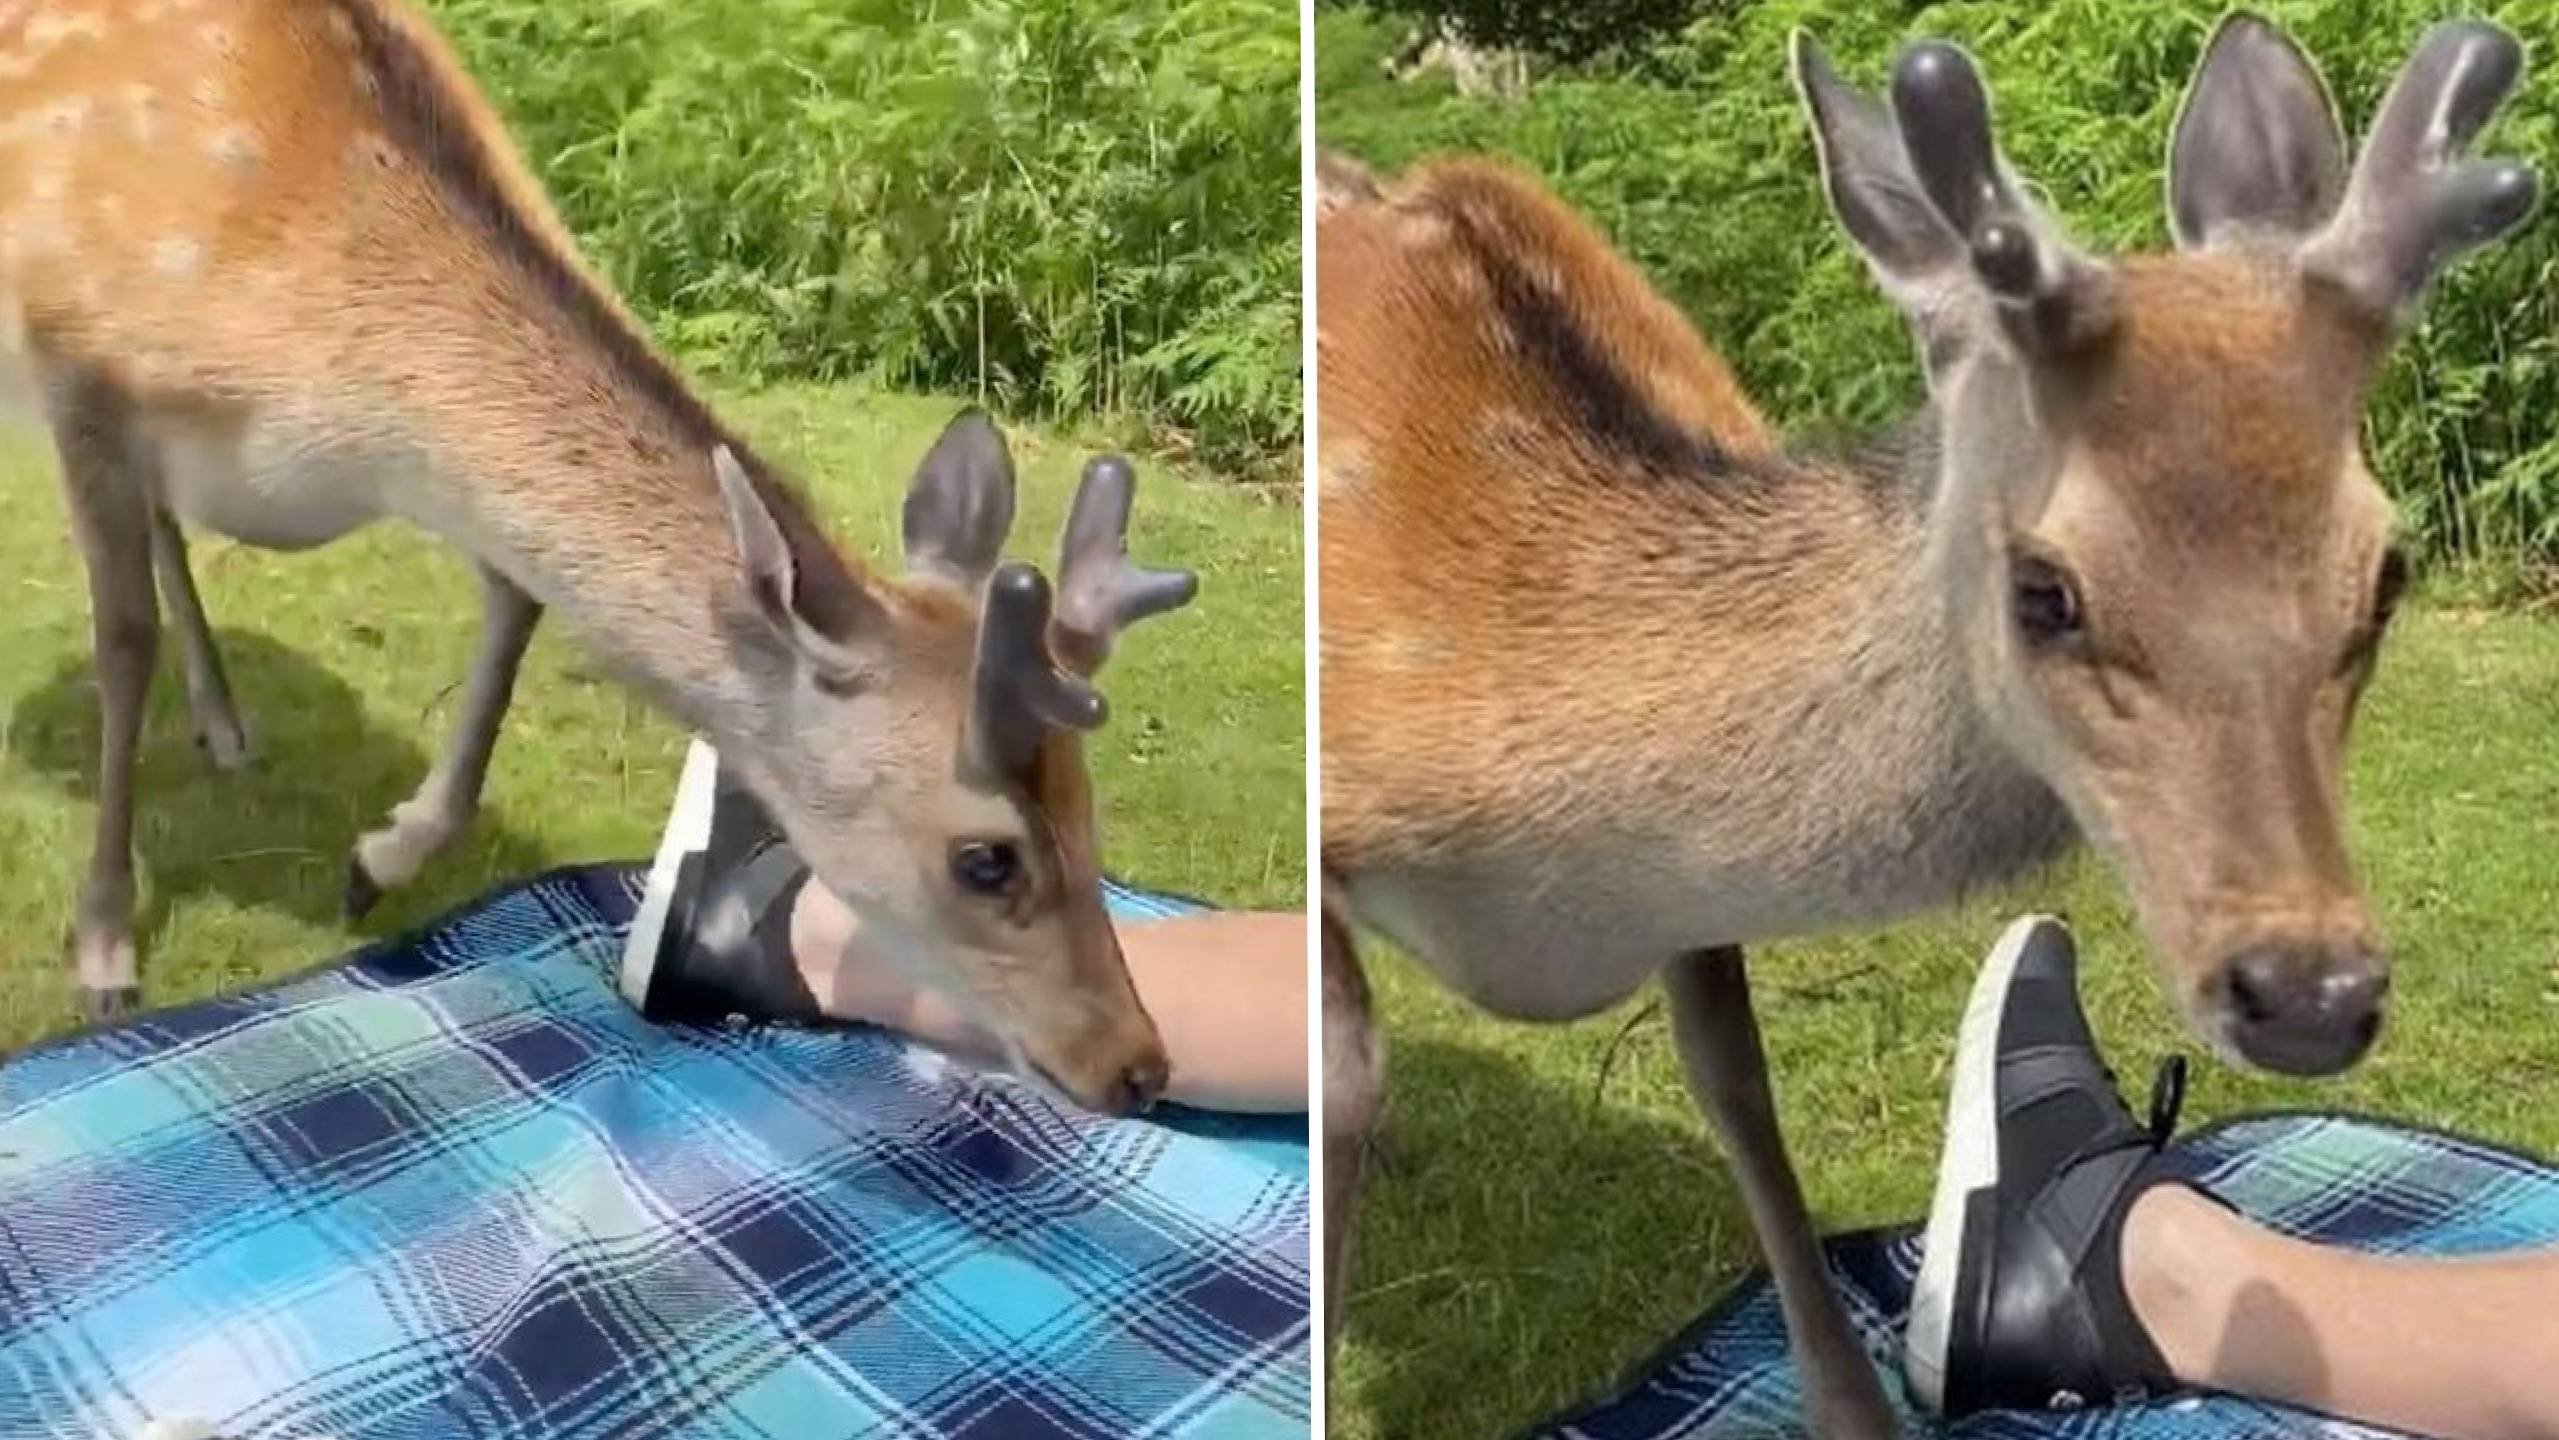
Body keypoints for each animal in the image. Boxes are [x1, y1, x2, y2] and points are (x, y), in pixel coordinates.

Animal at [2, 0, 1197, 1115]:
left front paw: (376, 861)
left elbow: (516, 599)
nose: (1137, 1063)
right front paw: (104, 950)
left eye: (1087, 798)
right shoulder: (78, 369)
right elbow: (122, 642)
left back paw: (227, 723)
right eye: (985, 858)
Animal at [1320, 16, 2538, 1432]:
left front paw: (1848, 1405)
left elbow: (1737, 1084)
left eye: (2387, 573)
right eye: (2046, 588)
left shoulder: (1692, 910)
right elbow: (1344, 1071)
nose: (2309, 992)